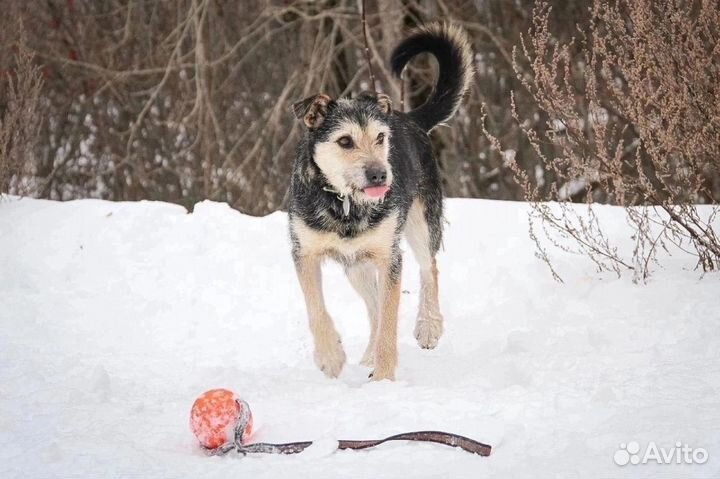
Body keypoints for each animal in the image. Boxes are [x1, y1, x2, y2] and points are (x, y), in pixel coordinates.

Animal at [286, 23, 472, 382]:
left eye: (381, 138)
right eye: (345, 141)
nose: (380, 175)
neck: (345, 205)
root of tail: (409, 118)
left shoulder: (390, 258)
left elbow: (389, 320)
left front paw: (384, 378)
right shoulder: (304, 253)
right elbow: (315, 308)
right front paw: (330, 356)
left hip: (420, 224)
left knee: (428, 269)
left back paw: (428, 326)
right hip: (356, 265)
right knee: (373, 304)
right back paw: (369, 354)